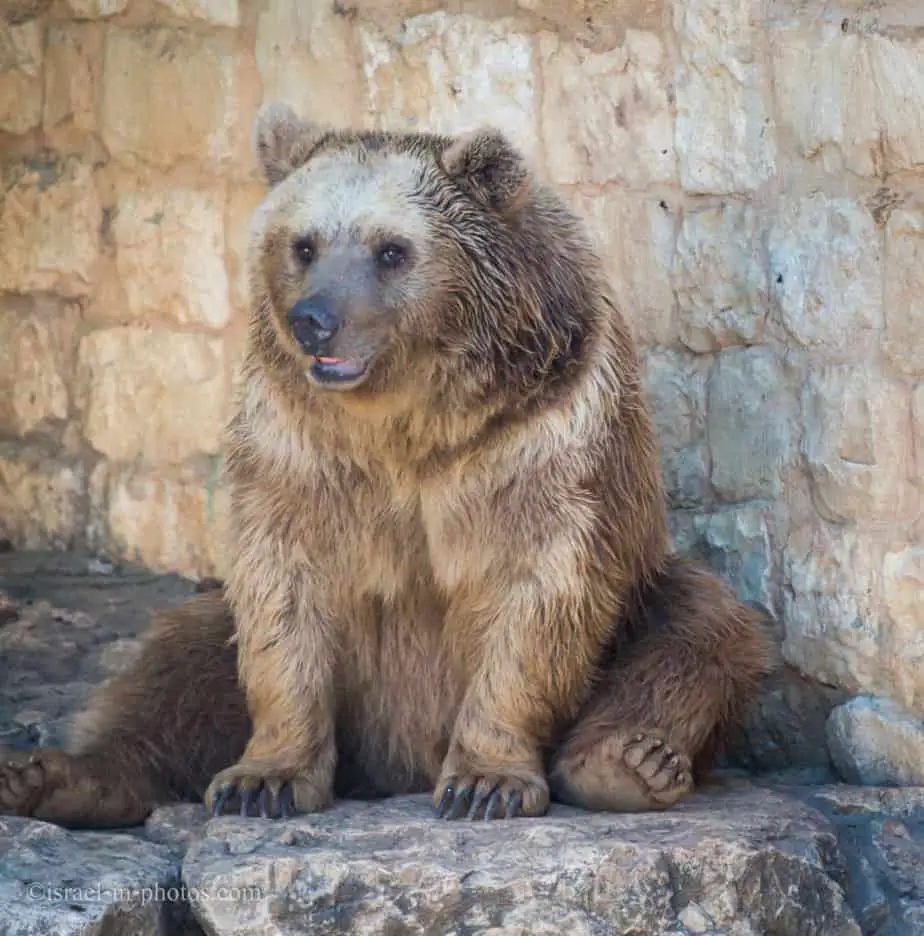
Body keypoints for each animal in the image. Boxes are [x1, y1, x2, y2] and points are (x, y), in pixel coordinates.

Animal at [0, 104, 772, 828]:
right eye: (304, 244)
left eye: (392, 249)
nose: (314, 318)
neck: (409, 423)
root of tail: (394, 768)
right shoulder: (299, 448)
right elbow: (280, 593)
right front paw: (264, 781)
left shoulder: (545, 435)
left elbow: (543, 589)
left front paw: (484, 783)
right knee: (174, 663)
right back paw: (54, 777)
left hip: (645, 596)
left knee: (702, 626)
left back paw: (628, 762)